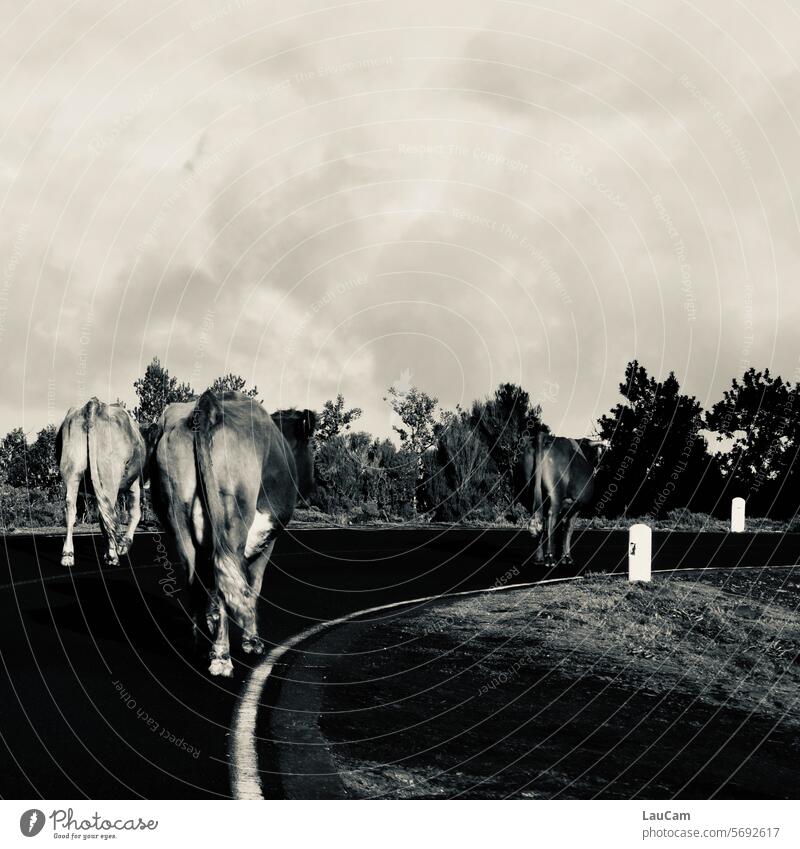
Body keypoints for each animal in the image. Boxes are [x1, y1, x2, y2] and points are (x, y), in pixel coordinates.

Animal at [55, 400, 160, 568]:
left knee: (71, 510)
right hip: (110, 475)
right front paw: (123, 545)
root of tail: (94, 404)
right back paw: (112, 555)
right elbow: (135, 513)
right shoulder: (134, 482)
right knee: (107, 513)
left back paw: (67, 555)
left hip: (72, 469)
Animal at [150, 390, 316, 676]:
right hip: (233, 522)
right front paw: (252, 642)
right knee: (225, 580)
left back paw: (200, 646)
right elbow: (254, 584)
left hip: (179, 518)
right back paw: (221, 656)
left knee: (196, 582)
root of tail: (208, 406)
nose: (314, 484)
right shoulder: (266, 539)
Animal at [516, 434, 604, 568]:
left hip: (529, 493)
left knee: (540, 524)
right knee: (551, 520)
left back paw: (539, 558)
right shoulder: (576, 506)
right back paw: (550, 558)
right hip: (555, 495)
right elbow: (568, 530)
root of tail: (545, 437)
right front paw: (566, 557)